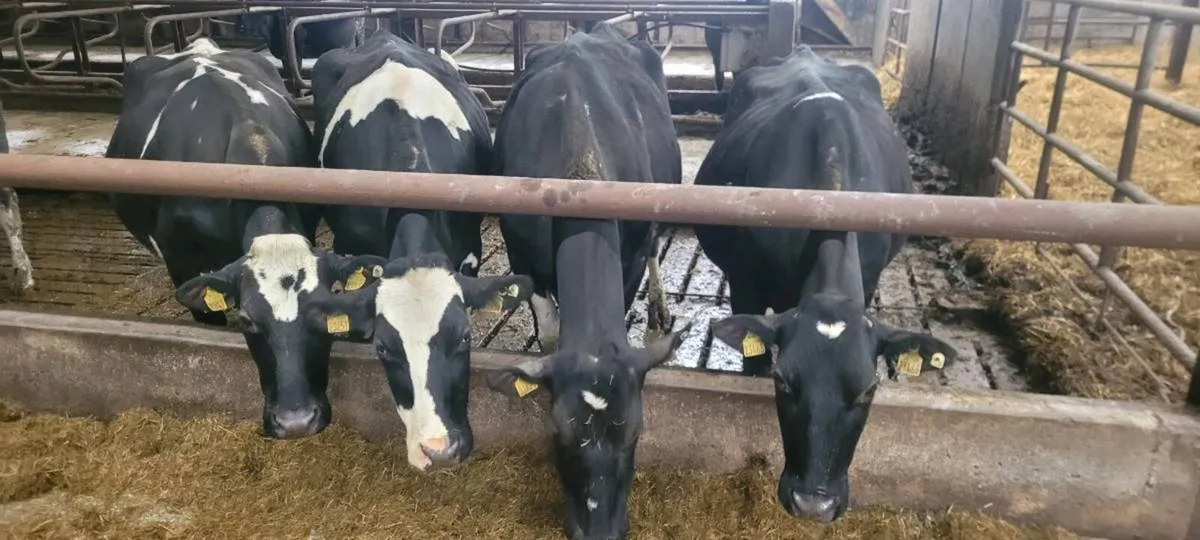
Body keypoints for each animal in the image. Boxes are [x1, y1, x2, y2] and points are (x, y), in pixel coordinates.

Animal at [483, 23, 690, 540]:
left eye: (636, 431)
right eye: (557, 430)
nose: (599, 531)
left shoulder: (629, 257)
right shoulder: (522, 255)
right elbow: (550, 333)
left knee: (656, 247)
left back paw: (659, 309)